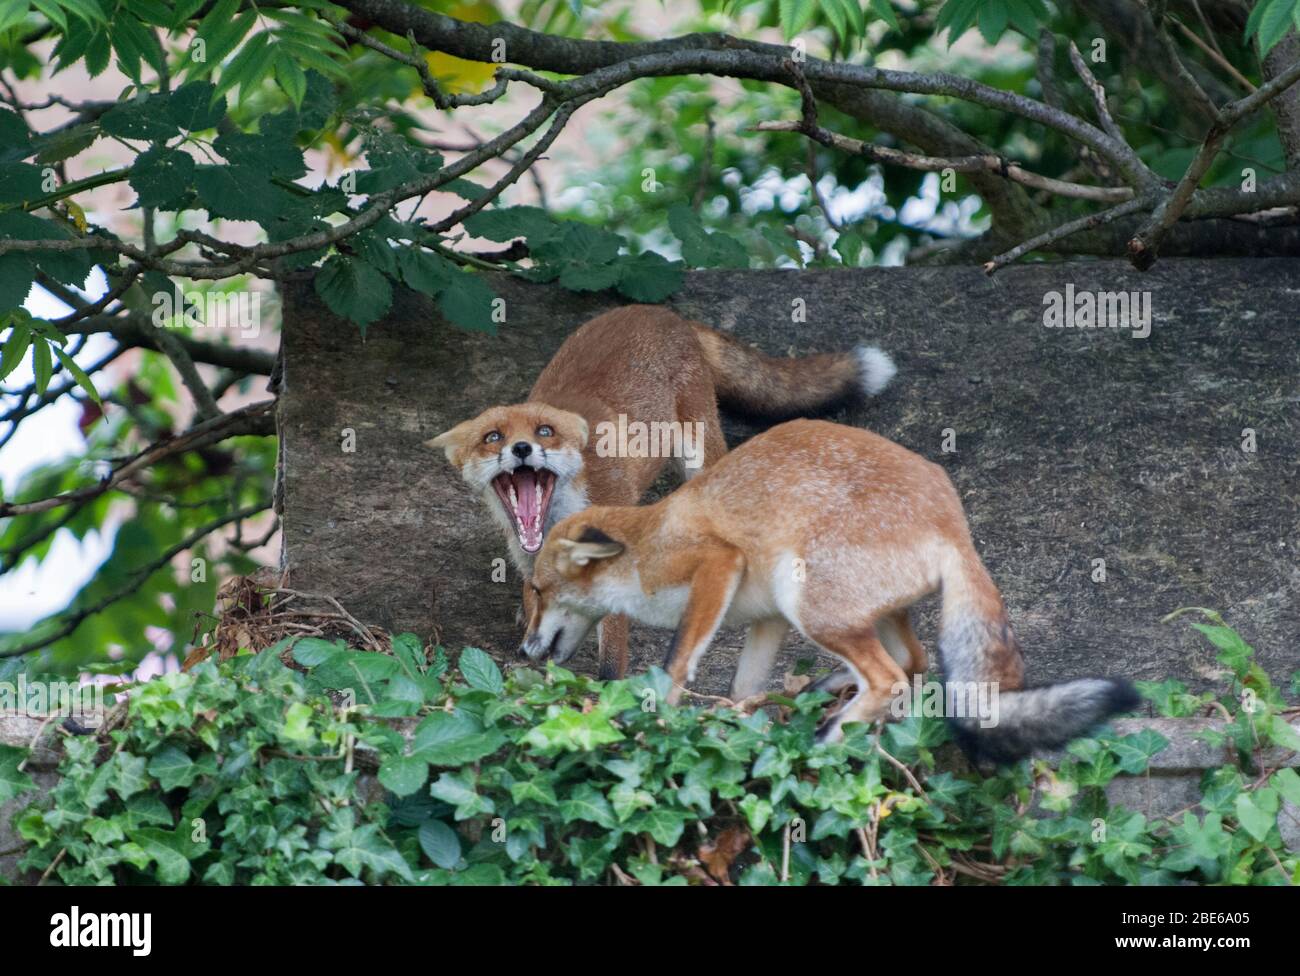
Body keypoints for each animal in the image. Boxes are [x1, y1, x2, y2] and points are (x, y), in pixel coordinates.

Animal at [517, 415, 1138, 758]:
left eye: (539, 593)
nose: (522, 650)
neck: (648, 543)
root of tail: (952, 522)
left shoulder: (716, 564)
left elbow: (676, 662)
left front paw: (656, 722)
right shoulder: (766, 618)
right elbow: (742, 690)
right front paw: (739, 729)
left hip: (809, 602)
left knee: (890, 678)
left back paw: (828, 737)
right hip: (853, 612)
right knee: (913, 661)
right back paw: (828, 697)